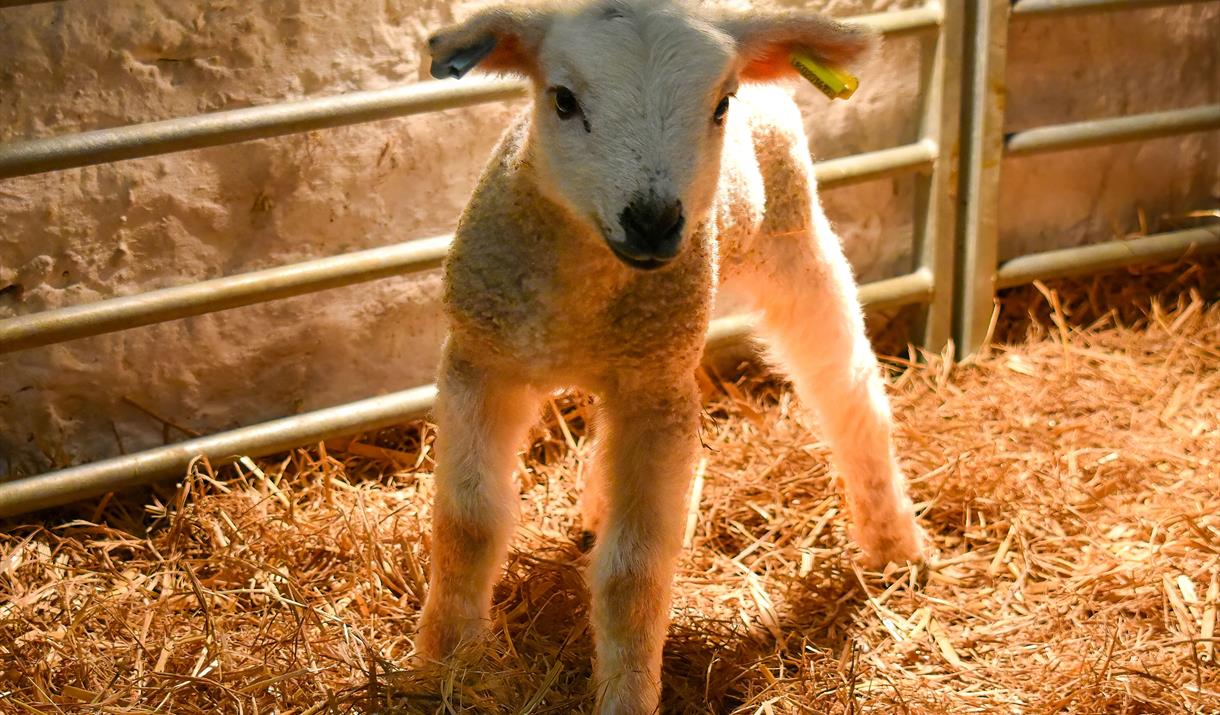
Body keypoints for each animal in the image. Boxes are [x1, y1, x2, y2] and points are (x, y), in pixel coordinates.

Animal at [414, 2, 917, 707]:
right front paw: (443, 665)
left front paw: (624, 695)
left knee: (847, 385)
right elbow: (469, 523)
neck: (582, 293)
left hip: (788, 245)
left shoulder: (655, 395)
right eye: (562, 99)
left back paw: (893, 542)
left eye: (722, 103)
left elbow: (633, 571)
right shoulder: (480, 363)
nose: (652, 221)